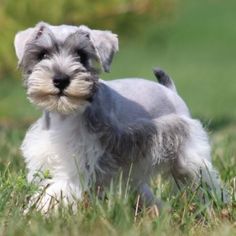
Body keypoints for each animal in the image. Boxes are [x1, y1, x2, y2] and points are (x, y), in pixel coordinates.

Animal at [13, 22, 226, 214]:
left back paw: (219, 205)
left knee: (208, 182)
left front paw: (35, 214)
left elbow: (55, 192)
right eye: (43, 55)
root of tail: (170, 90)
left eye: (81, 55)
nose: (61, 80)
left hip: (189, 159)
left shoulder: (74, 166)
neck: (64, 114)